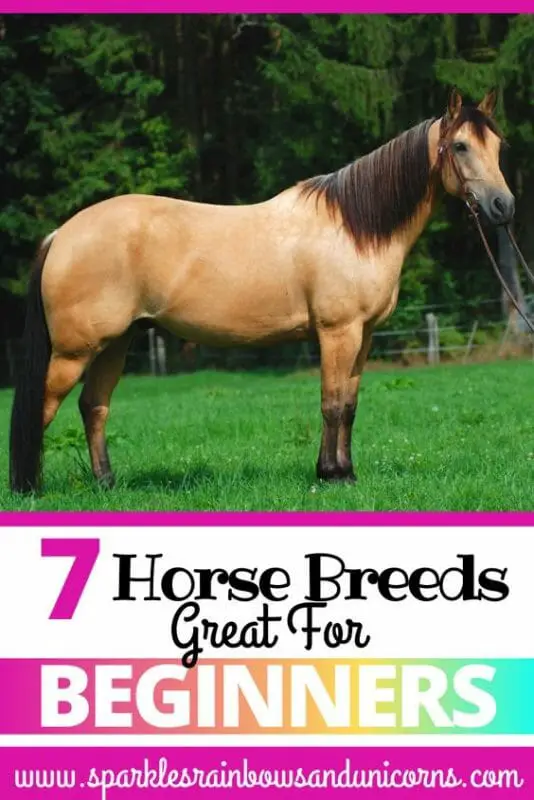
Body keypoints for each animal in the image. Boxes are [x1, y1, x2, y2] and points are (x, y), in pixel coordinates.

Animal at [9, 89, 514, 494]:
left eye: (498, 145)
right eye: (461, 146)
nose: (503, 206)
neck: (354, 228)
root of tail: (62, 234)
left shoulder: (365, 335)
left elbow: (350, 405)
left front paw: (346, 472)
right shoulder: (338, 332)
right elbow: (332, 404)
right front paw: (330, 475)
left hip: (117, 342)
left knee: (94, 407)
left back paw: (106, 484)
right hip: (74, 351)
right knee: (42, 409)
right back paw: (29, 488)